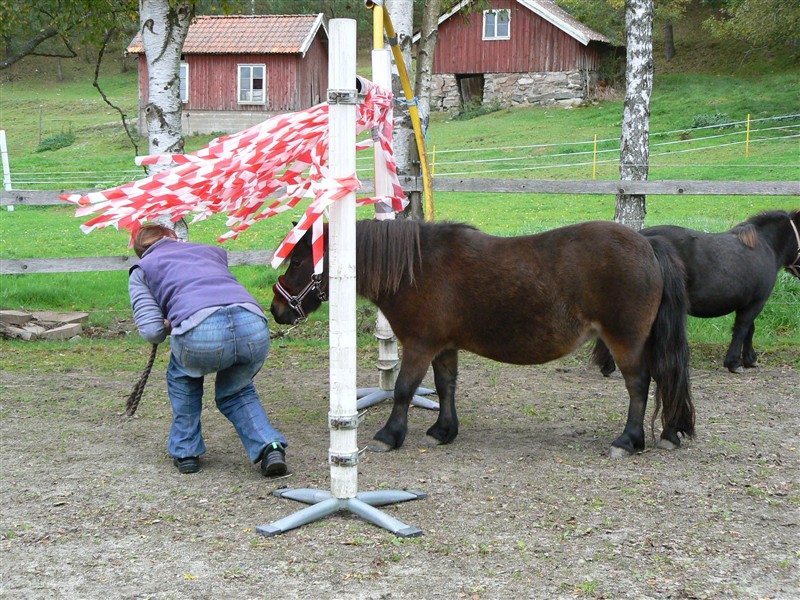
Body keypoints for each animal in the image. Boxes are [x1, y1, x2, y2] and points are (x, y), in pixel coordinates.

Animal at [270, 218, 692, 458]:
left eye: (297, 260)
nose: (277, 309)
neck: (416, 269)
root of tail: (648, 245)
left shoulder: (420, 346)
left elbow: (405, 390)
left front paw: (389, 435)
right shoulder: (444, 347)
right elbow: (446, 386)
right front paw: (443, 431)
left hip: (626, 340)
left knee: (640, 385)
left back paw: (628, 440)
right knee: (664, 379)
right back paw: (669, 433)